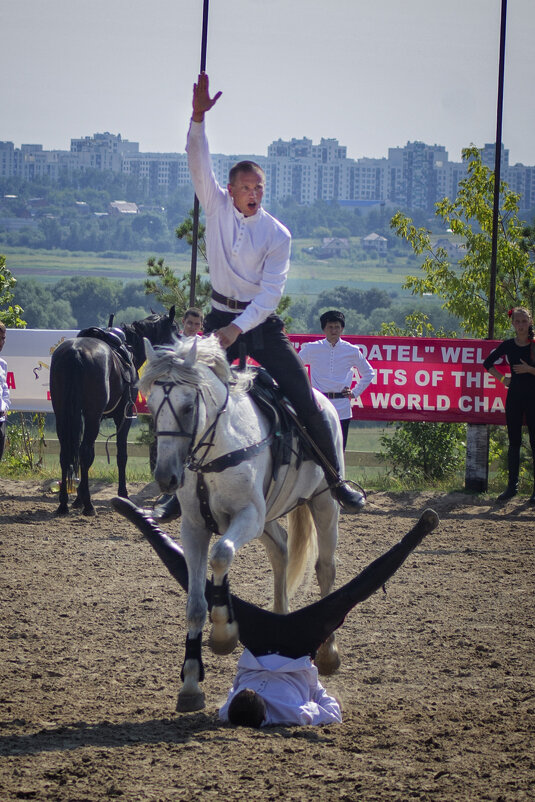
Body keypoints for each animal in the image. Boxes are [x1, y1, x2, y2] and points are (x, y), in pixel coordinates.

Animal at [49, 304, 178, 516]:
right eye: (175, 328)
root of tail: (75, 352)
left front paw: (77, 499)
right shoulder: (124, 417)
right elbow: (121, 455)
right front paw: (122, 494)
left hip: (62, 414)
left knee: (66, 453)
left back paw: (63, 504)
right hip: (92, 416)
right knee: (85, 452)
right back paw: (89, 506)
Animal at [141, 334, 344, 708]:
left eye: (188, 407)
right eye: (151, 405)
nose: (165, 478)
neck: (217, 449)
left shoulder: (248, 516)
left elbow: (222, 554)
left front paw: (224, 631)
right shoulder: (194, 528)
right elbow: (196, 605)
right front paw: (190, 684)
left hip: (324, 504)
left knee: (325, 568)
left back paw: (328, 653)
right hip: (268, 520)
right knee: (281, 552)